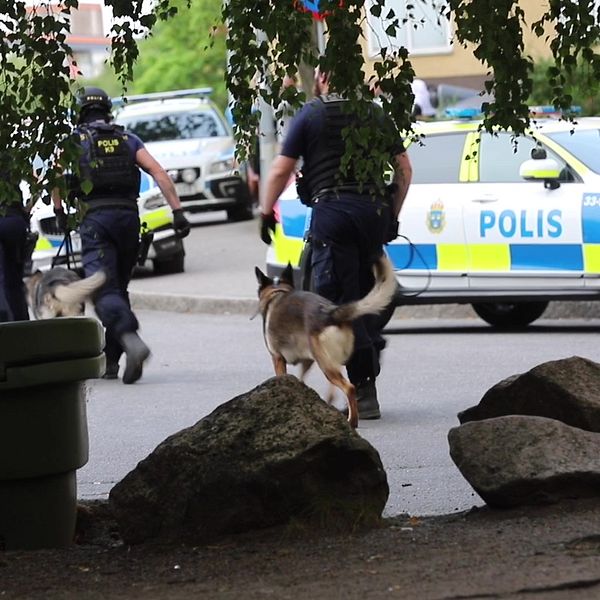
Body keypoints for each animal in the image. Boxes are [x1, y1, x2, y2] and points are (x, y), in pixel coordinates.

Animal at [254, 255, 398, 428]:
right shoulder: (307, 361)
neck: (277, 292)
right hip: (331, 361)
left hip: (325, 364)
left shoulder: (278, 359)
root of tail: (331, 313)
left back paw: (352, 421)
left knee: (349, 388)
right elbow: (300, 380)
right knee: (339, 388)